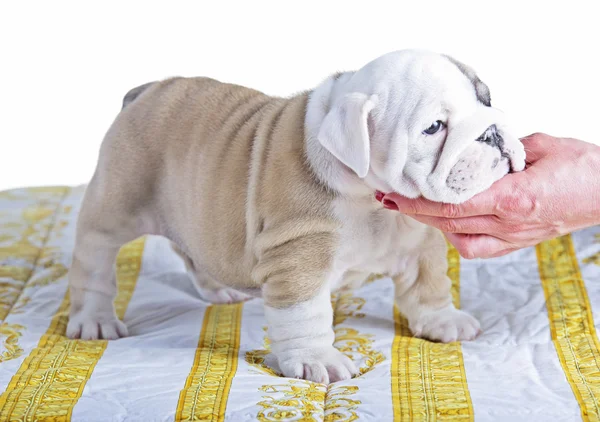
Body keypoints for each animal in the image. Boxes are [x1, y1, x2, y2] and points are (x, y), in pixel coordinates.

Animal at [67, 48, 524, 382]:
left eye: (485, 99)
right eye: (433, 127)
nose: (492, 132)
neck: (370, 198)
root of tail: (146, 90)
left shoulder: (419, 240)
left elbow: (428, 284)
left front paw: (443, 321)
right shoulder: (299, 254)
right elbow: (305, 313)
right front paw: (317, 359)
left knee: (192, 251)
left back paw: (219, 290)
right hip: (116, 204)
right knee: (94, 259)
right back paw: (94, 321)